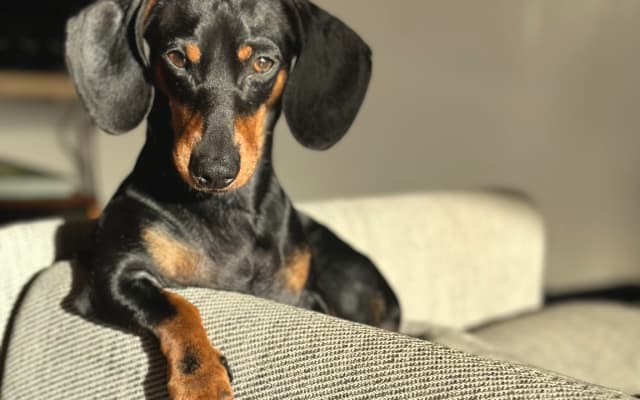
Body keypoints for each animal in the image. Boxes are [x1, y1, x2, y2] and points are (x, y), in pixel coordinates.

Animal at [66, 0, 400, 396]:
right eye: (176, 57)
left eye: (263, 63)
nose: (214, 170)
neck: (226, 209)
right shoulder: (111, 278)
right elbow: (178, 306)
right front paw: (202, 381)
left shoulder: (304, 299)